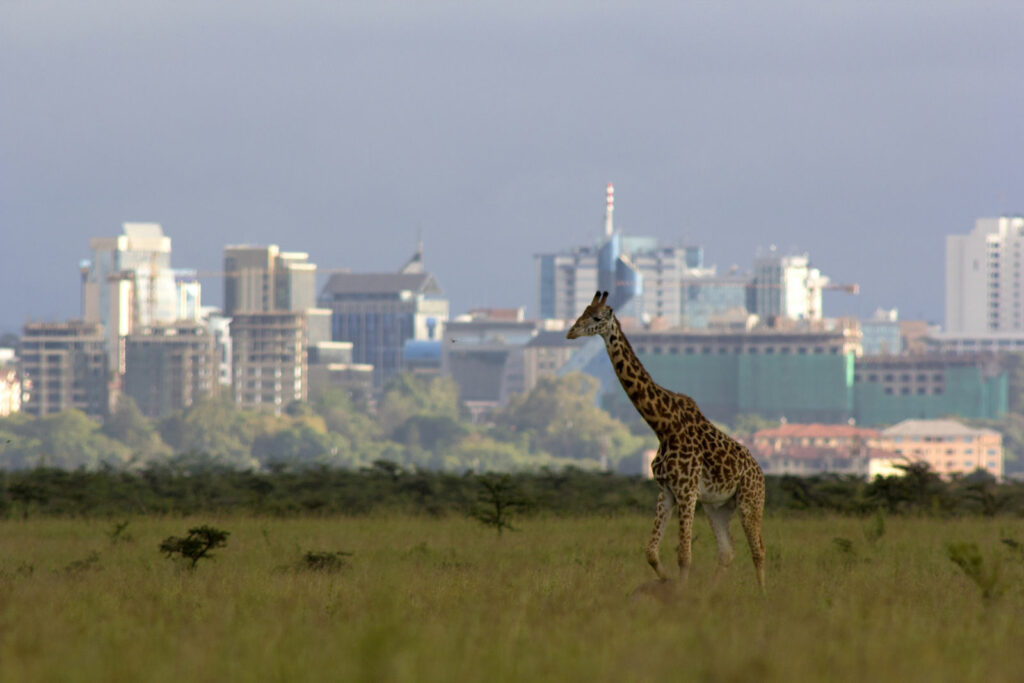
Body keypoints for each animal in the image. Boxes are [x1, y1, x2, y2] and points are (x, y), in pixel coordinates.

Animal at [569, 290, 770, 589]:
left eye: (596, 317)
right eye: (582, 311)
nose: (570, 332)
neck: (663, 426)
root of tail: (760, 471)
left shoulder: (686, 491)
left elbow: (684, 555)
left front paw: (678, 593)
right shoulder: (666, 490)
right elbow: (651, 552)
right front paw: (667, 583)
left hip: (750, 501)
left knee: (758, 550)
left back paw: (762, 594)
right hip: (717, 507)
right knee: (727, 551)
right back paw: (710, 593)